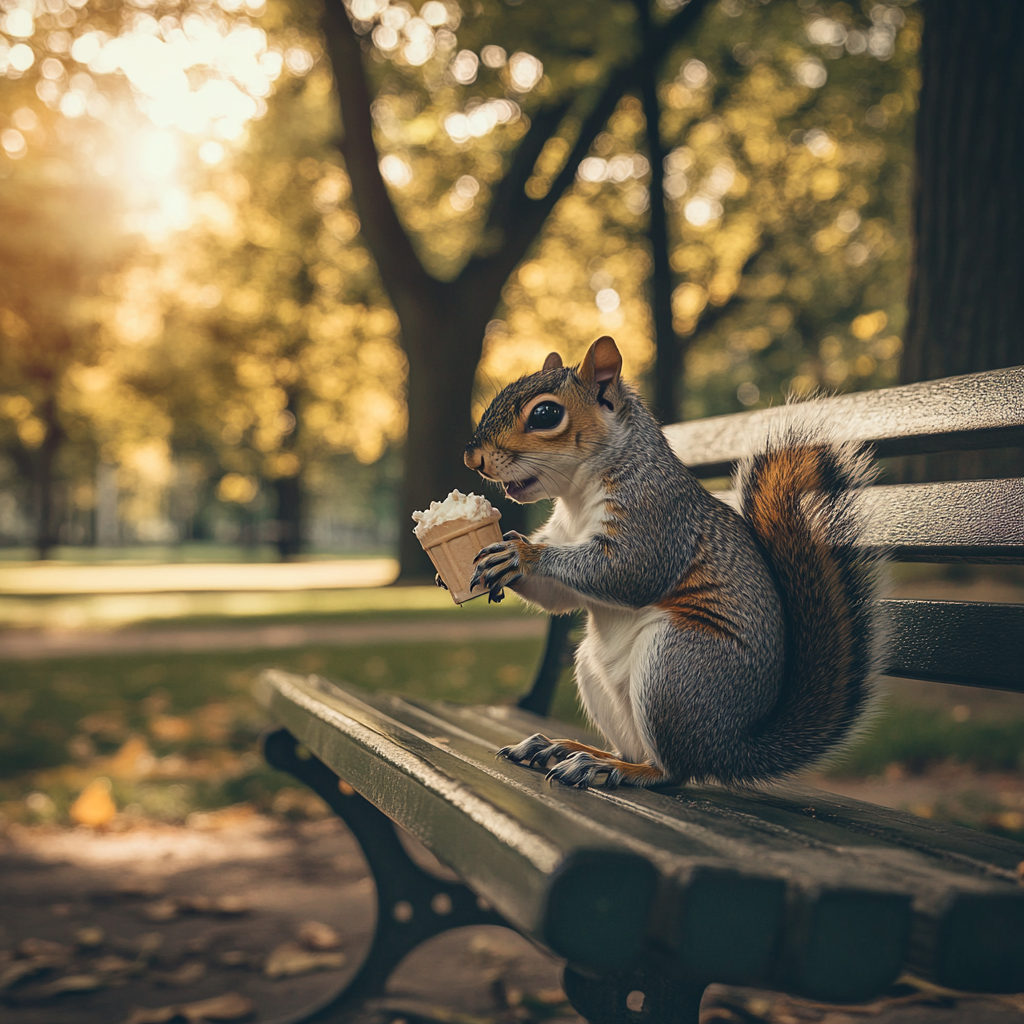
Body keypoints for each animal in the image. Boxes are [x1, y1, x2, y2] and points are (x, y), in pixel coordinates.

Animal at [462, 339, 880, 786]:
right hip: (596, 670)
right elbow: (558, 599)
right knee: (633, 747)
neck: (577, 495)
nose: (472, 458)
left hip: (676, 666)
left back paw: (611, 767)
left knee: (671, 771)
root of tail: (728, 747)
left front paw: (522, 555)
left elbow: (628, 572)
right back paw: (565, 748)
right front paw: (500, 557)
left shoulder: (656, 518)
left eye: (545, 414)